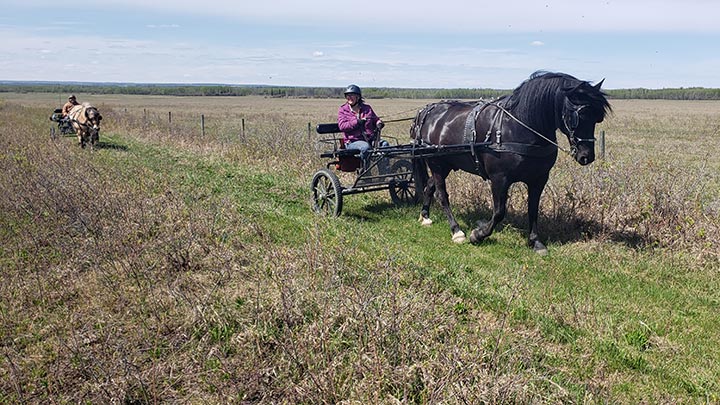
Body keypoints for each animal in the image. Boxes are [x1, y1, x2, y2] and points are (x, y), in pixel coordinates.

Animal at [410, 71, 611, 254]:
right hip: (436, 163)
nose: (587, 156)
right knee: (442, 195)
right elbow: (499, 212)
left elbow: (533, 209)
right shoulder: (499, 179)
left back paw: (425, 216)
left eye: (597, 118)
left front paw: (535, 241)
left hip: (446, 164)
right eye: (578, 116)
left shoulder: (539, 179)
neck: (520, 126)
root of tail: (427, 111)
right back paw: (456, 230)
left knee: (430, 186)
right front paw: (478, 234)